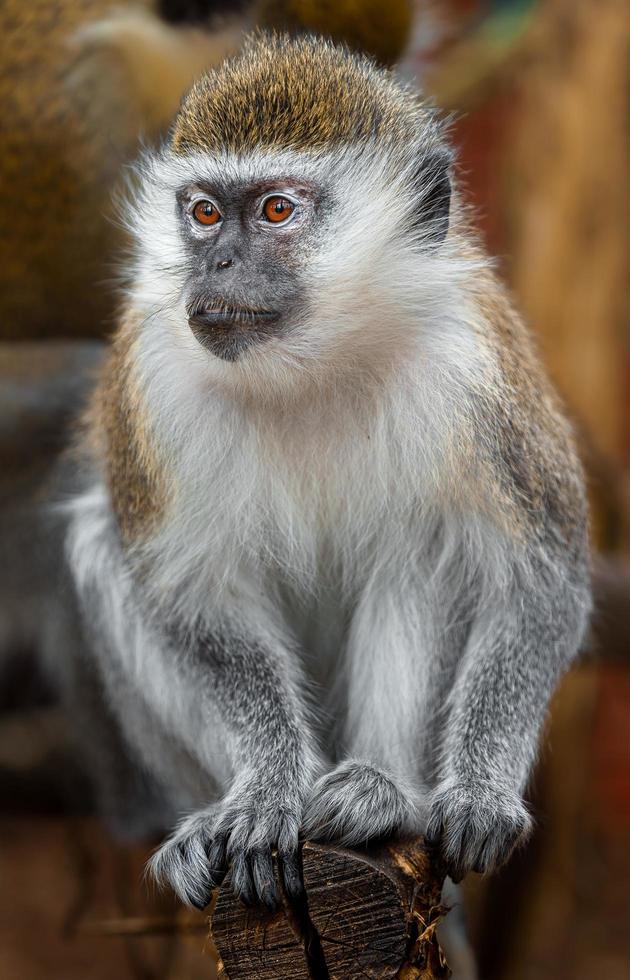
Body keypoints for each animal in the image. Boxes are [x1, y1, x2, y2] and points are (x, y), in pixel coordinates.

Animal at [58, 36, 592, 912]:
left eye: (277, 211)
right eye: (205, 213)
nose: (219, 264)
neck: (311, 361)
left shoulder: (478, 365)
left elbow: (541, 582)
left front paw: (480, 795)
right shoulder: (151, 374)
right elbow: (186, 591)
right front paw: (266, 789)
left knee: (421, 553)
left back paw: (382, 795)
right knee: (103, 546)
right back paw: (213, 820)